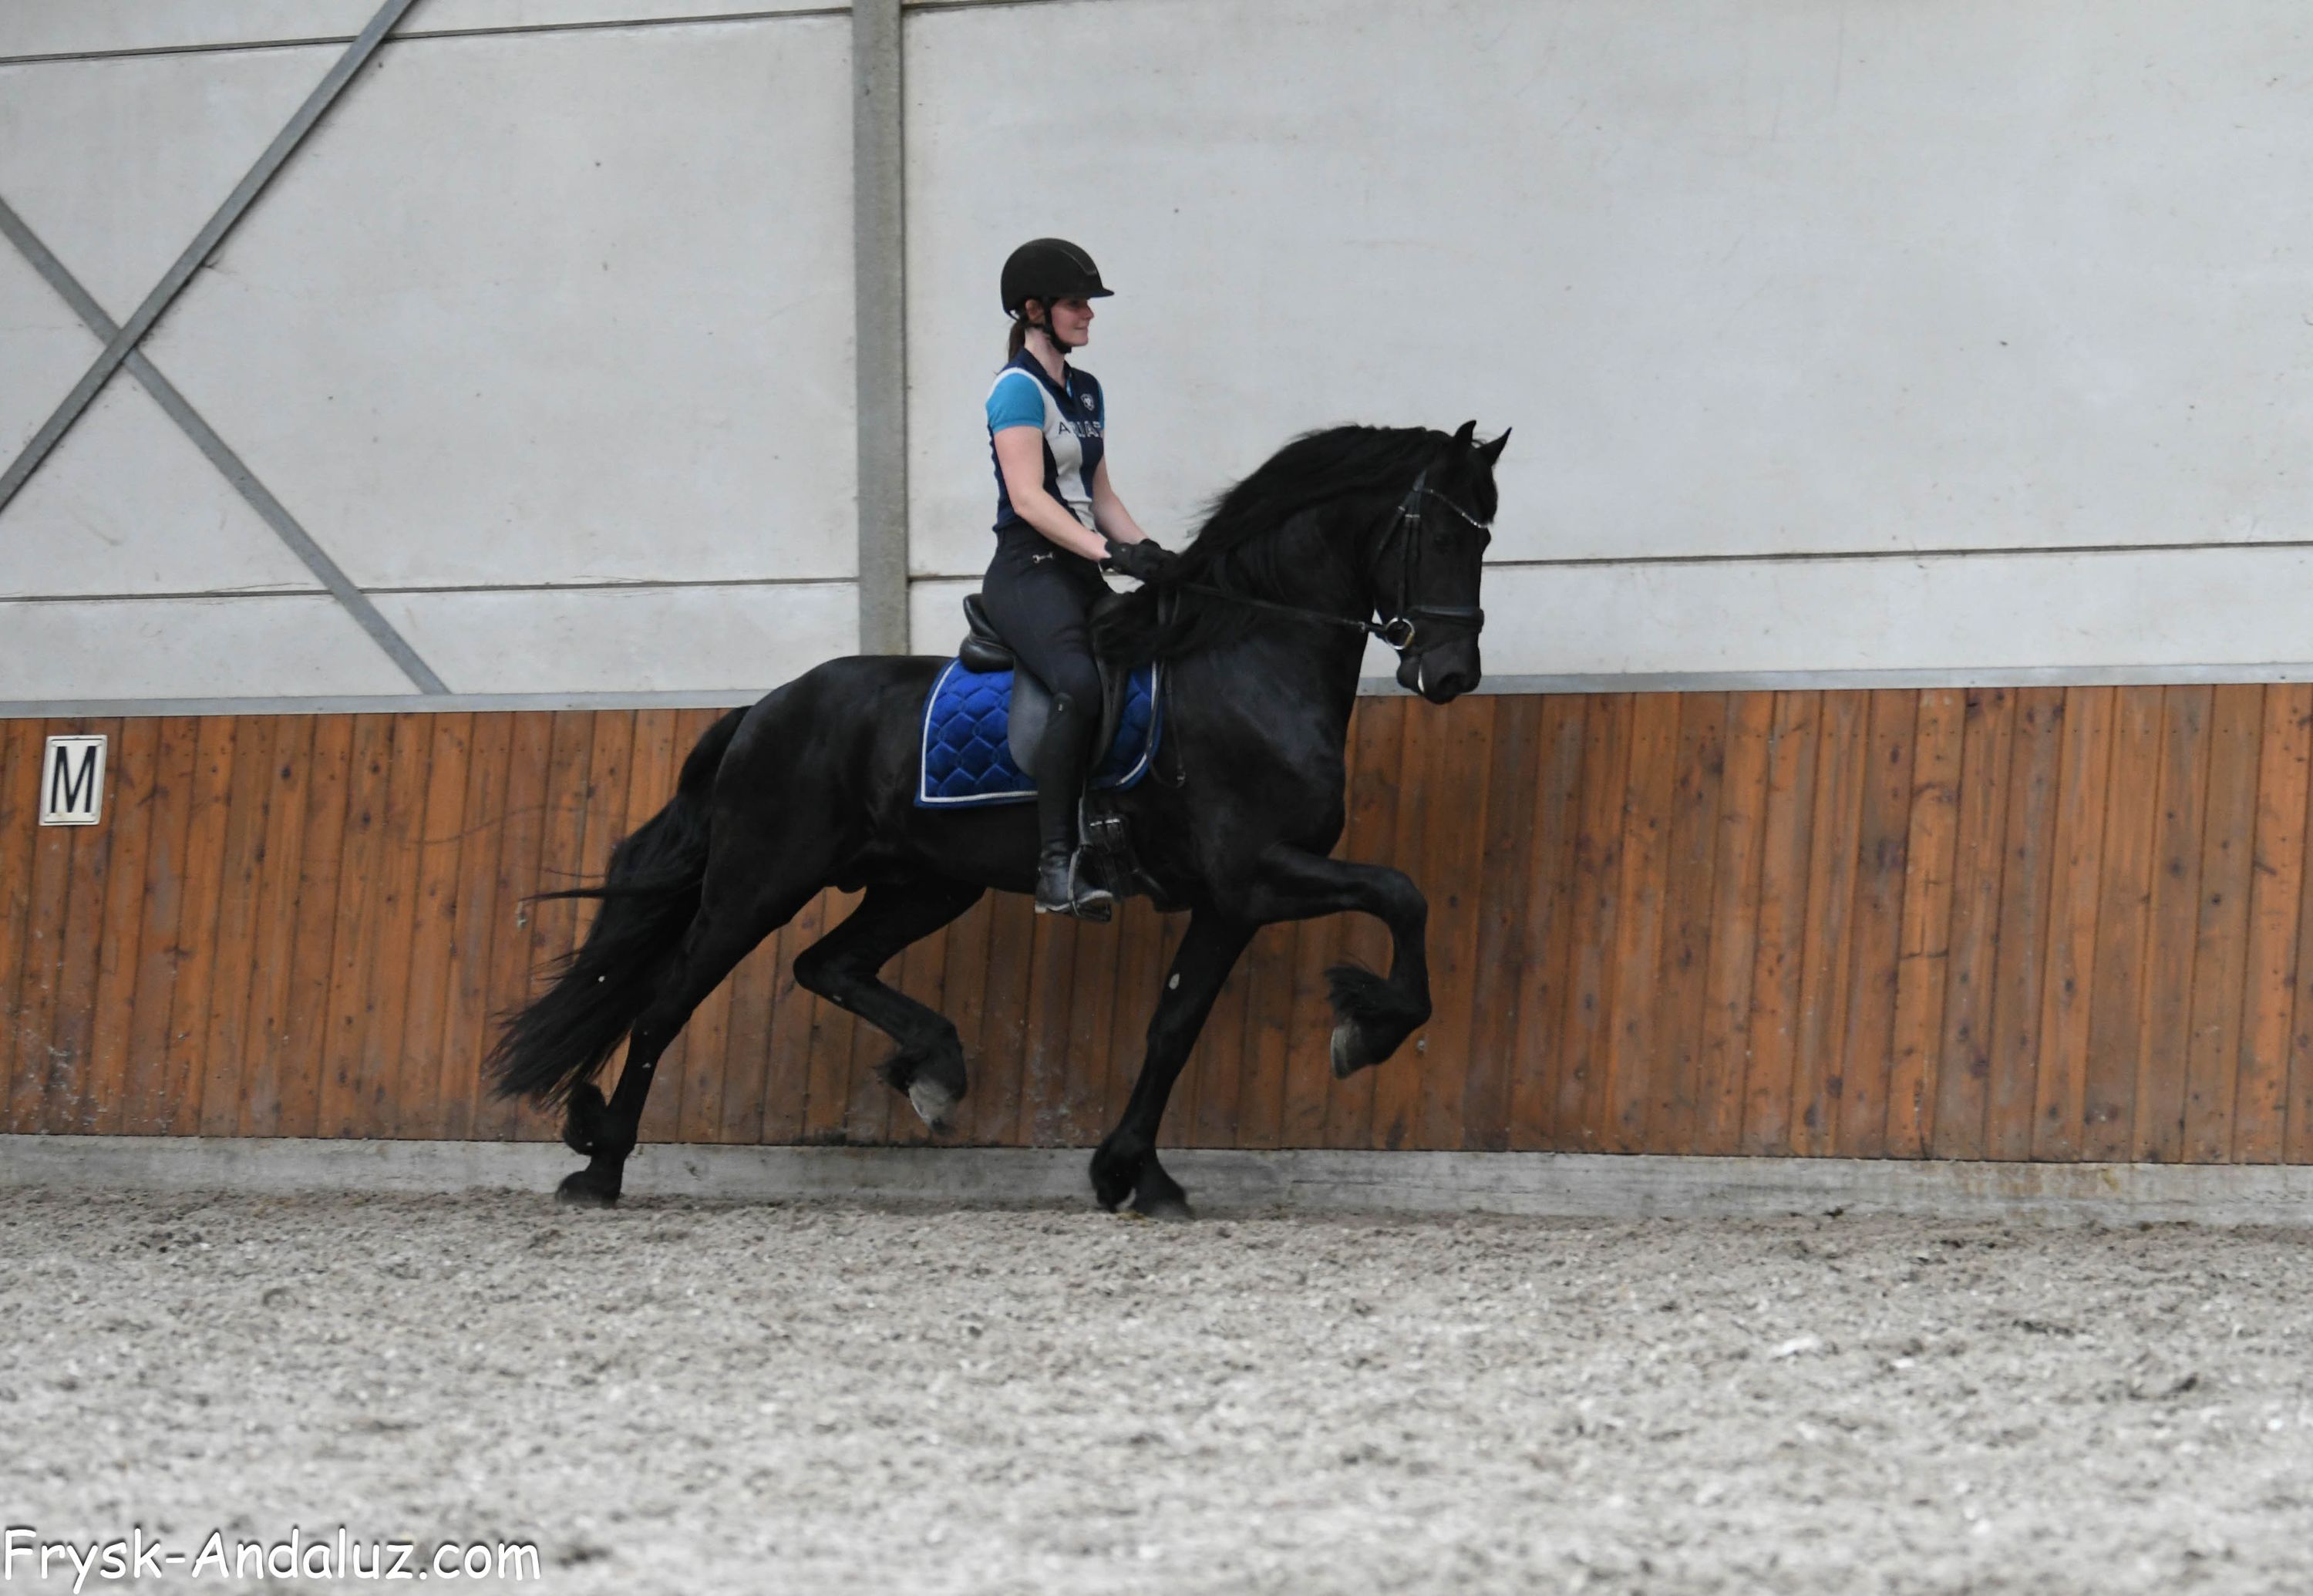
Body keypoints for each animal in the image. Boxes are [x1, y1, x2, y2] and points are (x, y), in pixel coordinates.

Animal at [487, 419, 1508, 1215]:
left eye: (1488, 538)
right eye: (1439, 536)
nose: (1451, 675)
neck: (1247, 659)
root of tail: (764, 708)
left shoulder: (1231, 901)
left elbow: (1174, 1028)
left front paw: (1132, 1175)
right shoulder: (1259, 870)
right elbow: (1402, 895)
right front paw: (1367, 1031)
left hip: (925, 885)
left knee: (828, 965)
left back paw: (935, 1072)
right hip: (759, 881)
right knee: (669, 1002)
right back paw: (603, 1167)